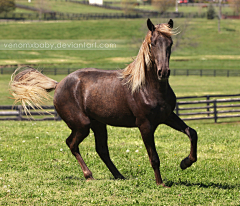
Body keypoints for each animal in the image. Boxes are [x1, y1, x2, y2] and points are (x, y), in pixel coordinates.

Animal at [9, 18, 197, 187]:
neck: (147, 88)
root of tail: (58, 84)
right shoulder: (145, 125)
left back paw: (119, 176)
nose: (163, 72)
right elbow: (154, 157)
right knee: (72, 144)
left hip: (98, 124)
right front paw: (160, 183)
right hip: (82, 125)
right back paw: (89, 175)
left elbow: (192, 132)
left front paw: (185, 163)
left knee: (101, 149)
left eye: (170, 43)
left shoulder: (168, 117)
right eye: (153, 43)